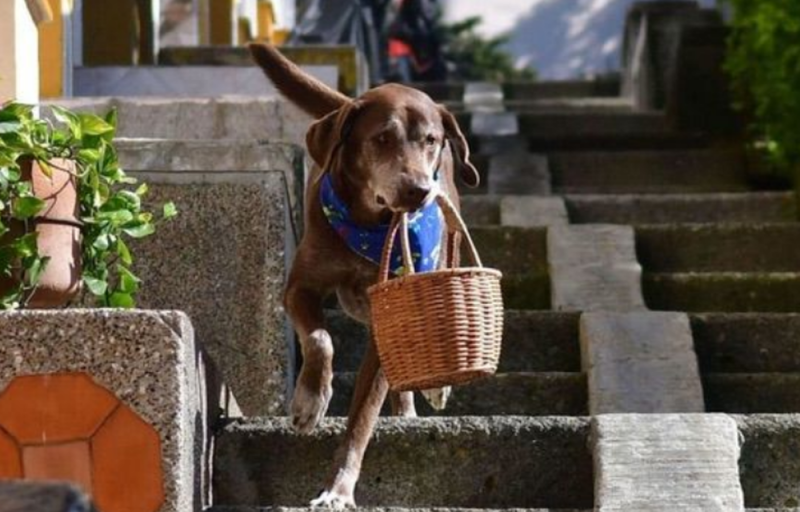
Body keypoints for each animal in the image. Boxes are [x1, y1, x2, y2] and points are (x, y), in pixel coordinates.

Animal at [248, 44, 476, 508]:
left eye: (430, 140)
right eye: (382, 138)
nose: (418, 189)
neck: (368, 220)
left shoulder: (393, 312)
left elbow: (363, 417)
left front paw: (338, 489)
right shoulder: (300, 287)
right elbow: (320, 340)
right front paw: (309, 401)